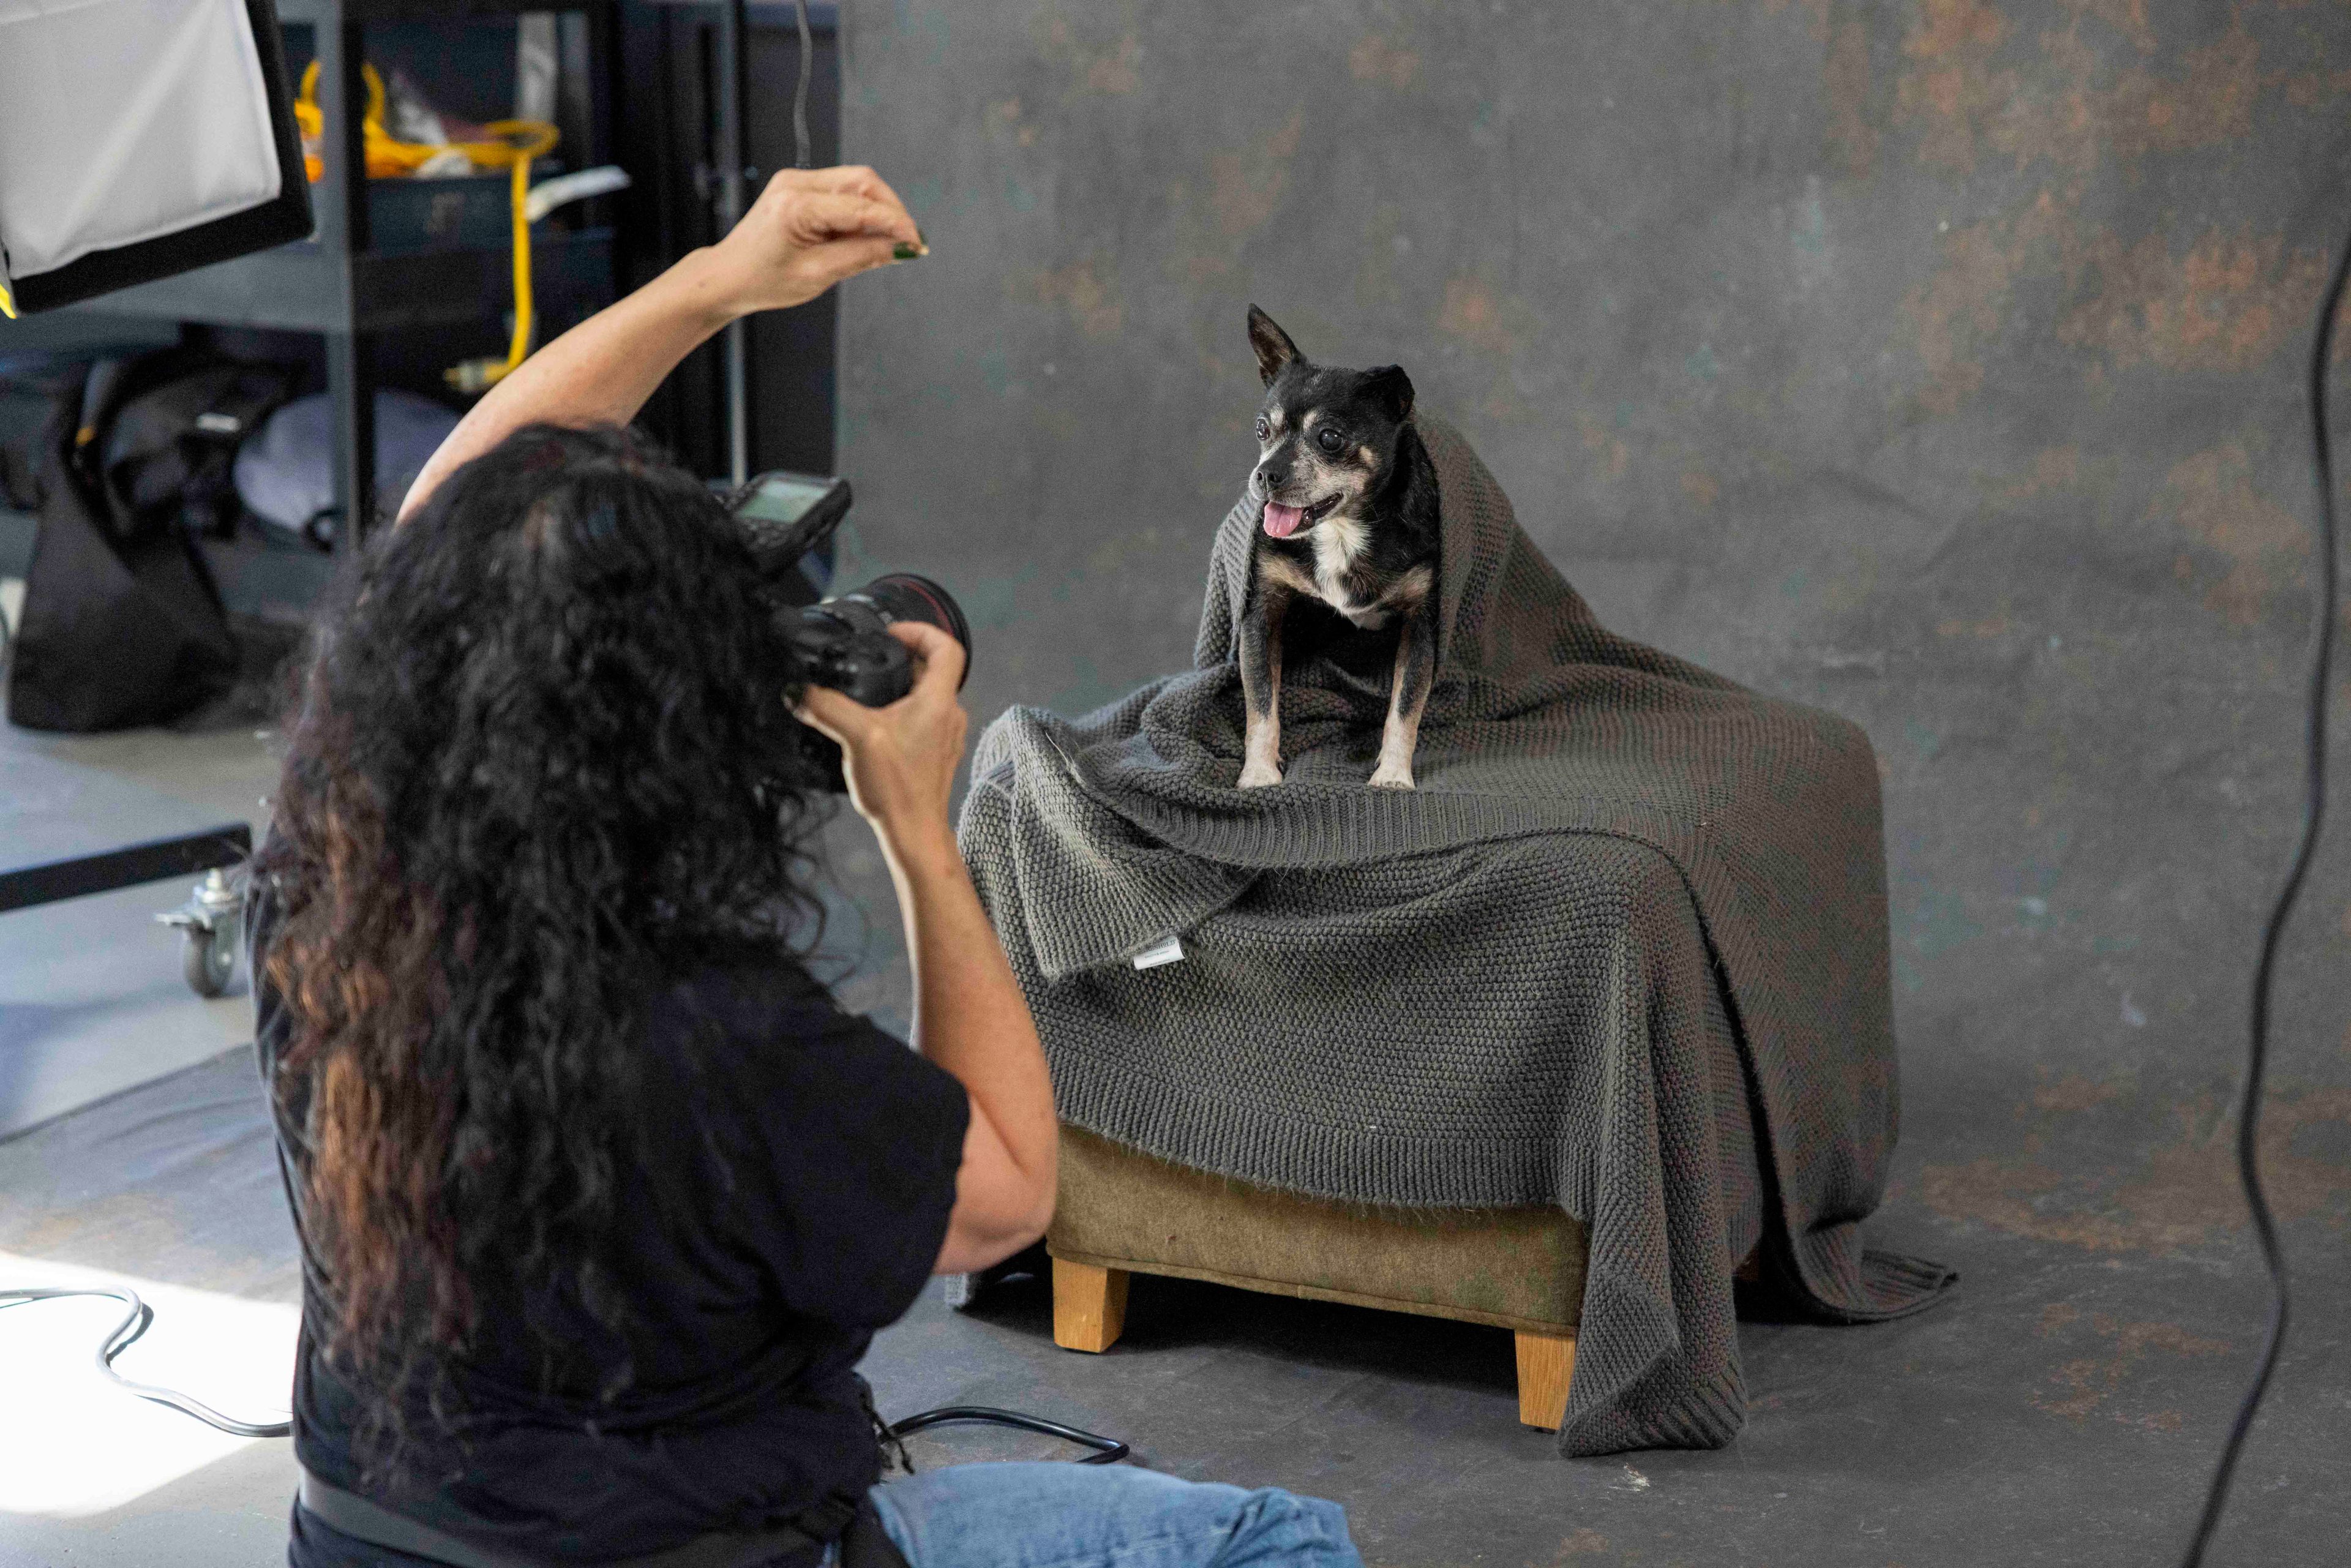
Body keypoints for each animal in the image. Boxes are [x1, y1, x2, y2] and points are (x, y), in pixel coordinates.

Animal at [1241, 306, 1439, 790]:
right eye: (1262, 429)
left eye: (1330, 438)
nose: (1265, 474)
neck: (1342, 530)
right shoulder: (1260, 614)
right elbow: (1262, 705)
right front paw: (1258, 775)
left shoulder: (1421, 625)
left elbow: (1405, 707)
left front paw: (1393, 776)